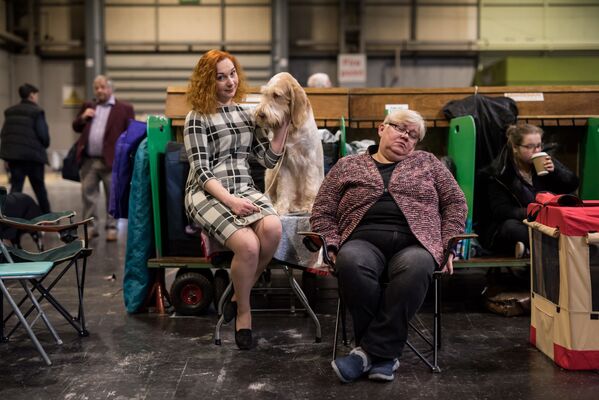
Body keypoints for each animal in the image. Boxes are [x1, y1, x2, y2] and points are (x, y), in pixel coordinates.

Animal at [255, 72, 326, 216]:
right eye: (264, 94)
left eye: (276, 95)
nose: (261, 114)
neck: (292, 130)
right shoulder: (284, 165)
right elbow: (284, 189)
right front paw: (281, 208)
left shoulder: (310, 163)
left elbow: (309, 188)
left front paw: (309, 207)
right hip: (270, 174)